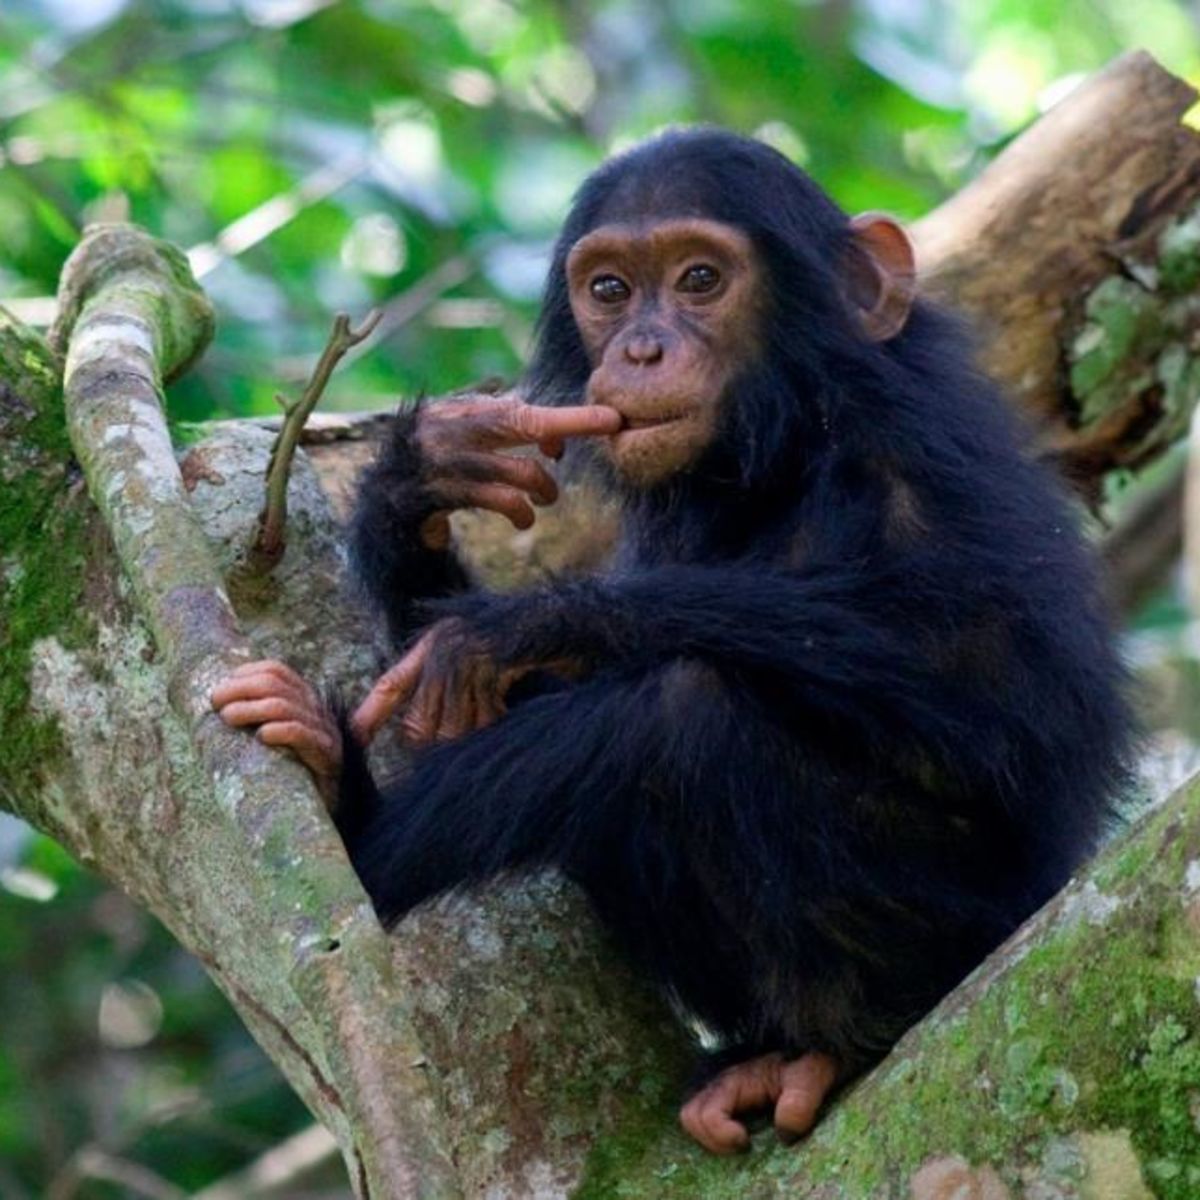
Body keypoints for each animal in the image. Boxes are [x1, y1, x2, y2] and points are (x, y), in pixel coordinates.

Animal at [211, 129, 1128, 1152]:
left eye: (700, 278)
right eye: (610, 289)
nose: (643, 347)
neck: (783, 449)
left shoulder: (922, 456)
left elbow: (1005, 701)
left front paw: (530, 625)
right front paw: (424, 476)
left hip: (954, 932)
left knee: (673, 715)